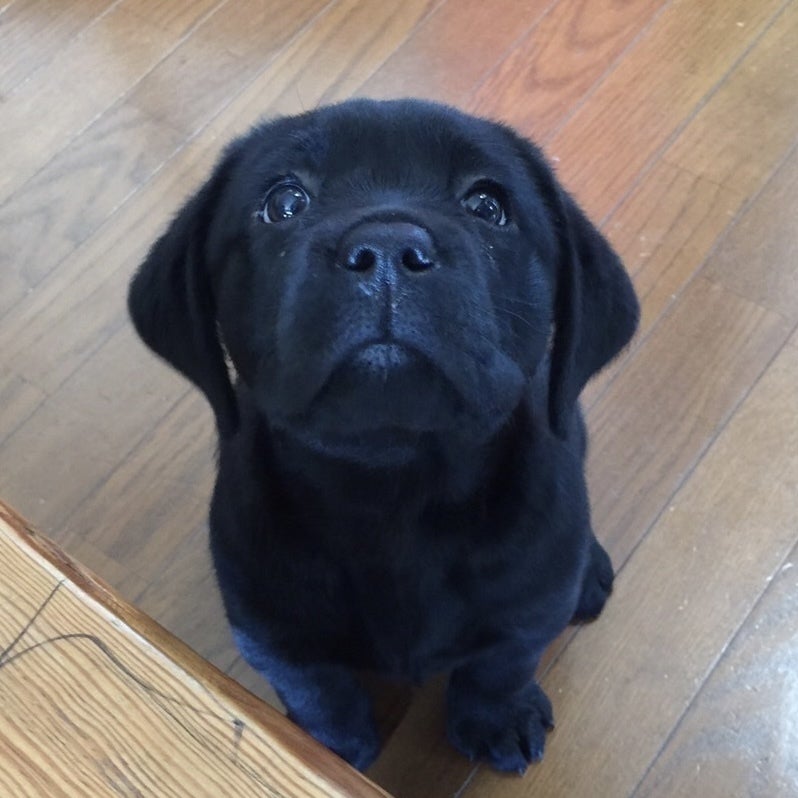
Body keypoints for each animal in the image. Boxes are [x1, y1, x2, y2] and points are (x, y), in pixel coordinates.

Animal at [128, 98, 638, 774]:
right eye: (284, 203)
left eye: (488, 205)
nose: (389, 247)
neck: (397, 492)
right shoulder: (270, 630)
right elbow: (319, 690)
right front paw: (325, 747)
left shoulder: (529, 609)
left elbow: (500, 667)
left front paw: (497, 719)